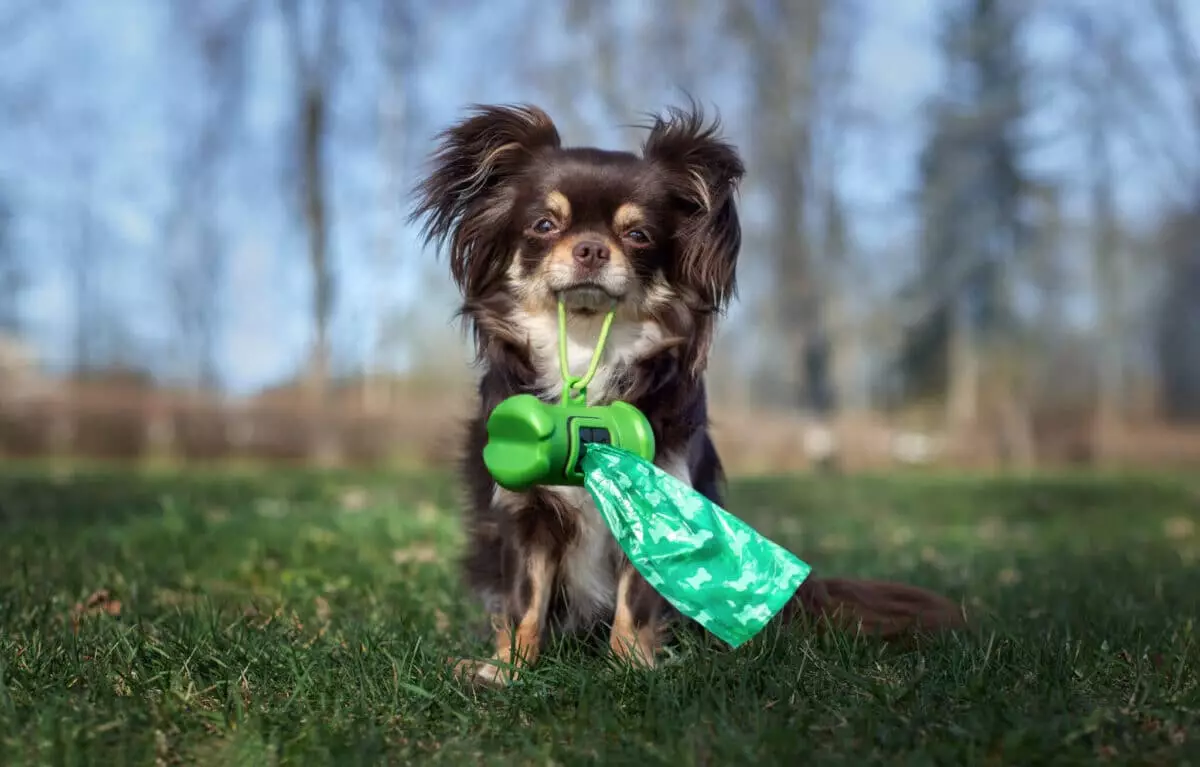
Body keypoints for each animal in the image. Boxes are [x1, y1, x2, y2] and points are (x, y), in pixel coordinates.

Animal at [412, 103, 964, 691]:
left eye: (638, 235)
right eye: (544, 225)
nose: (590, 248)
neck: (587, 348)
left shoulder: (660, 499)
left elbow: (637, 601)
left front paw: (633, 666)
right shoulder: (528, 513)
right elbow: (525, 600)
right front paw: (508, 669)